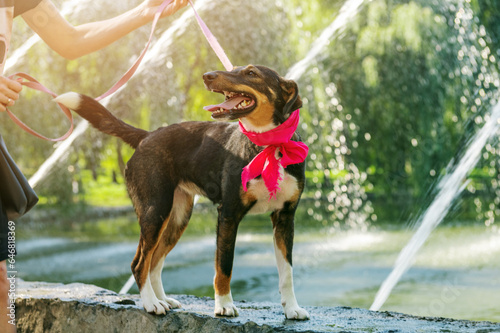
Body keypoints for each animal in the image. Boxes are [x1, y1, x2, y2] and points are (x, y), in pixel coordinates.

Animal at [55, 65, 312, 320]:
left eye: (251, 73)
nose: (208, 76)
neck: (270, 147)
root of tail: (147, 136)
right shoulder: (228, 214)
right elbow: (224, 267)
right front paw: (224, 305)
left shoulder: (285, 218)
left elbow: (287, 272)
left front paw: (292, 308)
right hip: (155, 211)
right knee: (140, 263)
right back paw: (151, 303)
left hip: (177, 218)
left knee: (154, 261)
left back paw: (162, 299)